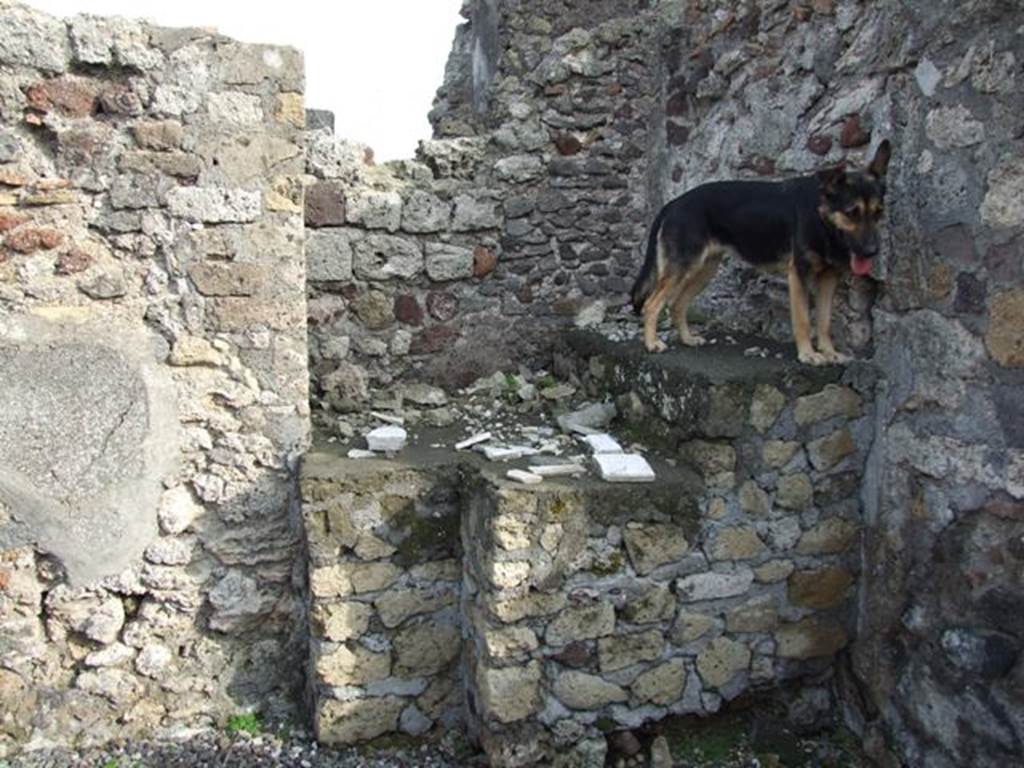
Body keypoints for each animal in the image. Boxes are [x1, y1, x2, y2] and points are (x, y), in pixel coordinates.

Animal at [622, 139, 888, 366]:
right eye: (852, 212)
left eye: (878, 212)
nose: (873, 251)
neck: (820, 215)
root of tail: (673, 204)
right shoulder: (799, 275)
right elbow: (803, 319)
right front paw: (808, 354)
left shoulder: (829, 279)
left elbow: (824, 322)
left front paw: (829, 352)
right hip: (683, 268)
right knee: (652, 304)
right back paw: (652, 343)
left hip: (705, 269)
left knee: (677, 303)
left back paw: (687, 338)